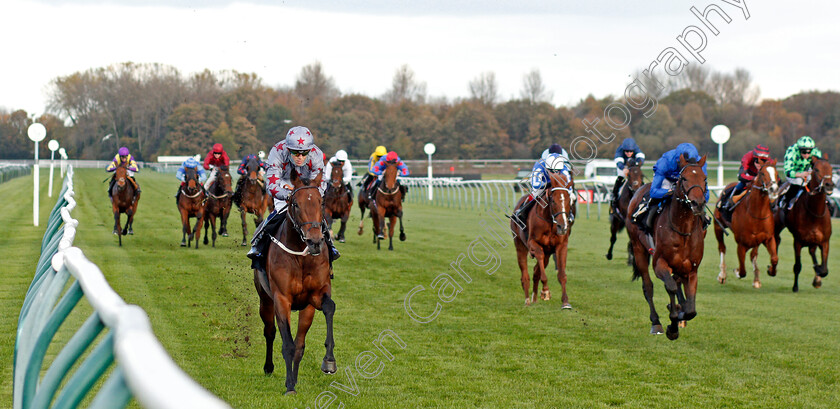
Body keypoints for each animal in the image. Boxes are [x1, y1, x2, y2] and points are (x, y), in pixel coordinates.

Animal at [254, 167, 336, 394]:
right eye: (296, 204)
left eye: (321, 202)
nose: (315, 241)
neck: (302, 256)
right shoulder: (282, 298)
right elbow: (287, 344)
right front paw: (289, 385)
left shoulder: (315, 295)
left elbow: (329, 308)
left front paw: (329, 361)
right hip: (265, 300)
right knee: (270, 332)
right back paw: (269, 367)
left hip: (306, 309)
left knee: (300, 343)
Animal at [508, 169, 576, 306]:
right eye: (553, 201)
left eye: (568, 201)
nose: (563, 226)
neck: (549, 221)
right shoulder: (533, 243)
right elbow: (539, 257)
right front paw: (545, 291)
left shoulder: (561, 246)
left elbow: (561, 274)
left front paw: (565, 302)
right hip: (519, 245)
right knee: (525, 274)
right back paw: (527, 301)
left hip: (548, 253)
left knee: (536, 271)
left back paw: (534, 298)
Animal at [624, 153, 708, 338]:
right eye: (684, 178)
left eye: (704, 178)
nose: (698, 204)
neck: (683, 230)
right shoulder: (660, 263)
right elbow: (669, 287)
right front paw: (673, 325)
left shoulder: (692, 270)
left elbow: (691, 309)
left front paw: (679, 312)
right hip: (638, 248)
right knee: (648, 286)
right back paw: (656, 322)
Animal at [716, 158, 780, 288]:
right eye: (762, 173)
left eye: (776, 173)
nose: (774, 190)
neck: (757, 213)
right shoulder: (741, 244)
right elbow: (742, 271)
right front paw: (736, 271)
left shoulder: (768, 238)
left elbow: (774, 258)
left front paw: (770, 270)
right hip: (718, 227)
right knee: (722, 248)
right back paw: (722, 275)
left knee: (753, 255)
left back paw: (756, 279)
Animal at [776, 155, 832, 292]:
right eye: (816, 169)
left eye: (831, 168)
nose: (829, 185)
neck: (815, 213)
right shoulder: (798, 241)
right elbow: (797, 266)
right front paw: (795, 287)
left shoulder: (824, 241)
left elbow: (824, 269)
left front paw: (817, 275)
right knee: (776, 239)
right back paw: (772, 268)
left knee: (812, 251)